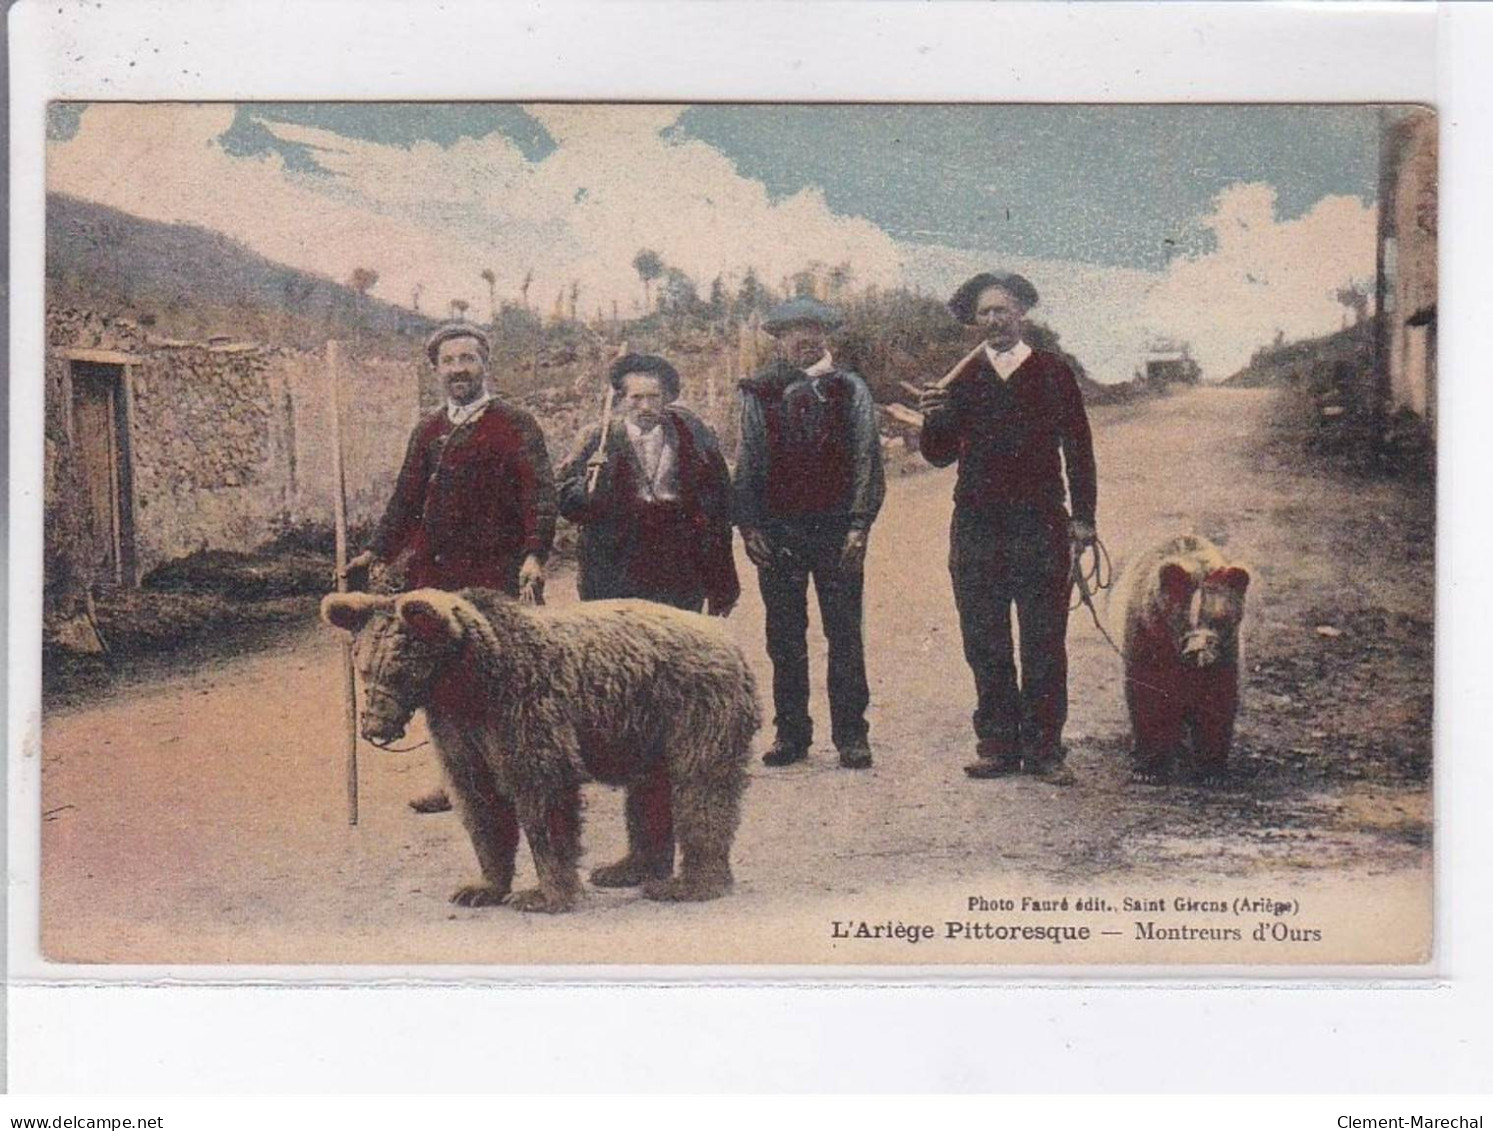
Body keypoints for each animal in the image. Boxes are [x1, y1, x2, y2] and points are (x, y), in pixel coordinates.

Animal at [328, 587, 770, 919]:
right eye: (365, 667)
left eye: (399, 669)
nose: (373, 728)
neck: (466, 683)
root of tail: (731, 642)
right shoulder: (461, 732)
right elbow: (480, 803)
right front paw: (480, 887)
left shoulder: (522, 707)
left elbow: (544, 793)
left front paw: (542, 895)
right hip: (647, 728)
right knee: (649, 795)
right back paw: (624, 869)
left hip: (695, 708)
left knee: (700, 789)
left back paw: (690, 884)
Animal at [1116, 540, 1254, 787]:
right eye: (1184, 618)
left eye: (1219, 619)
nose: (1197, 650)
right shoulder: (1147, 635)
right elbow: (1146, 694)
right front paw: (1148, 769)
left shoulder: (1225, 655)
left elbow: (1218, 701)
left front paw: (1212, 771)